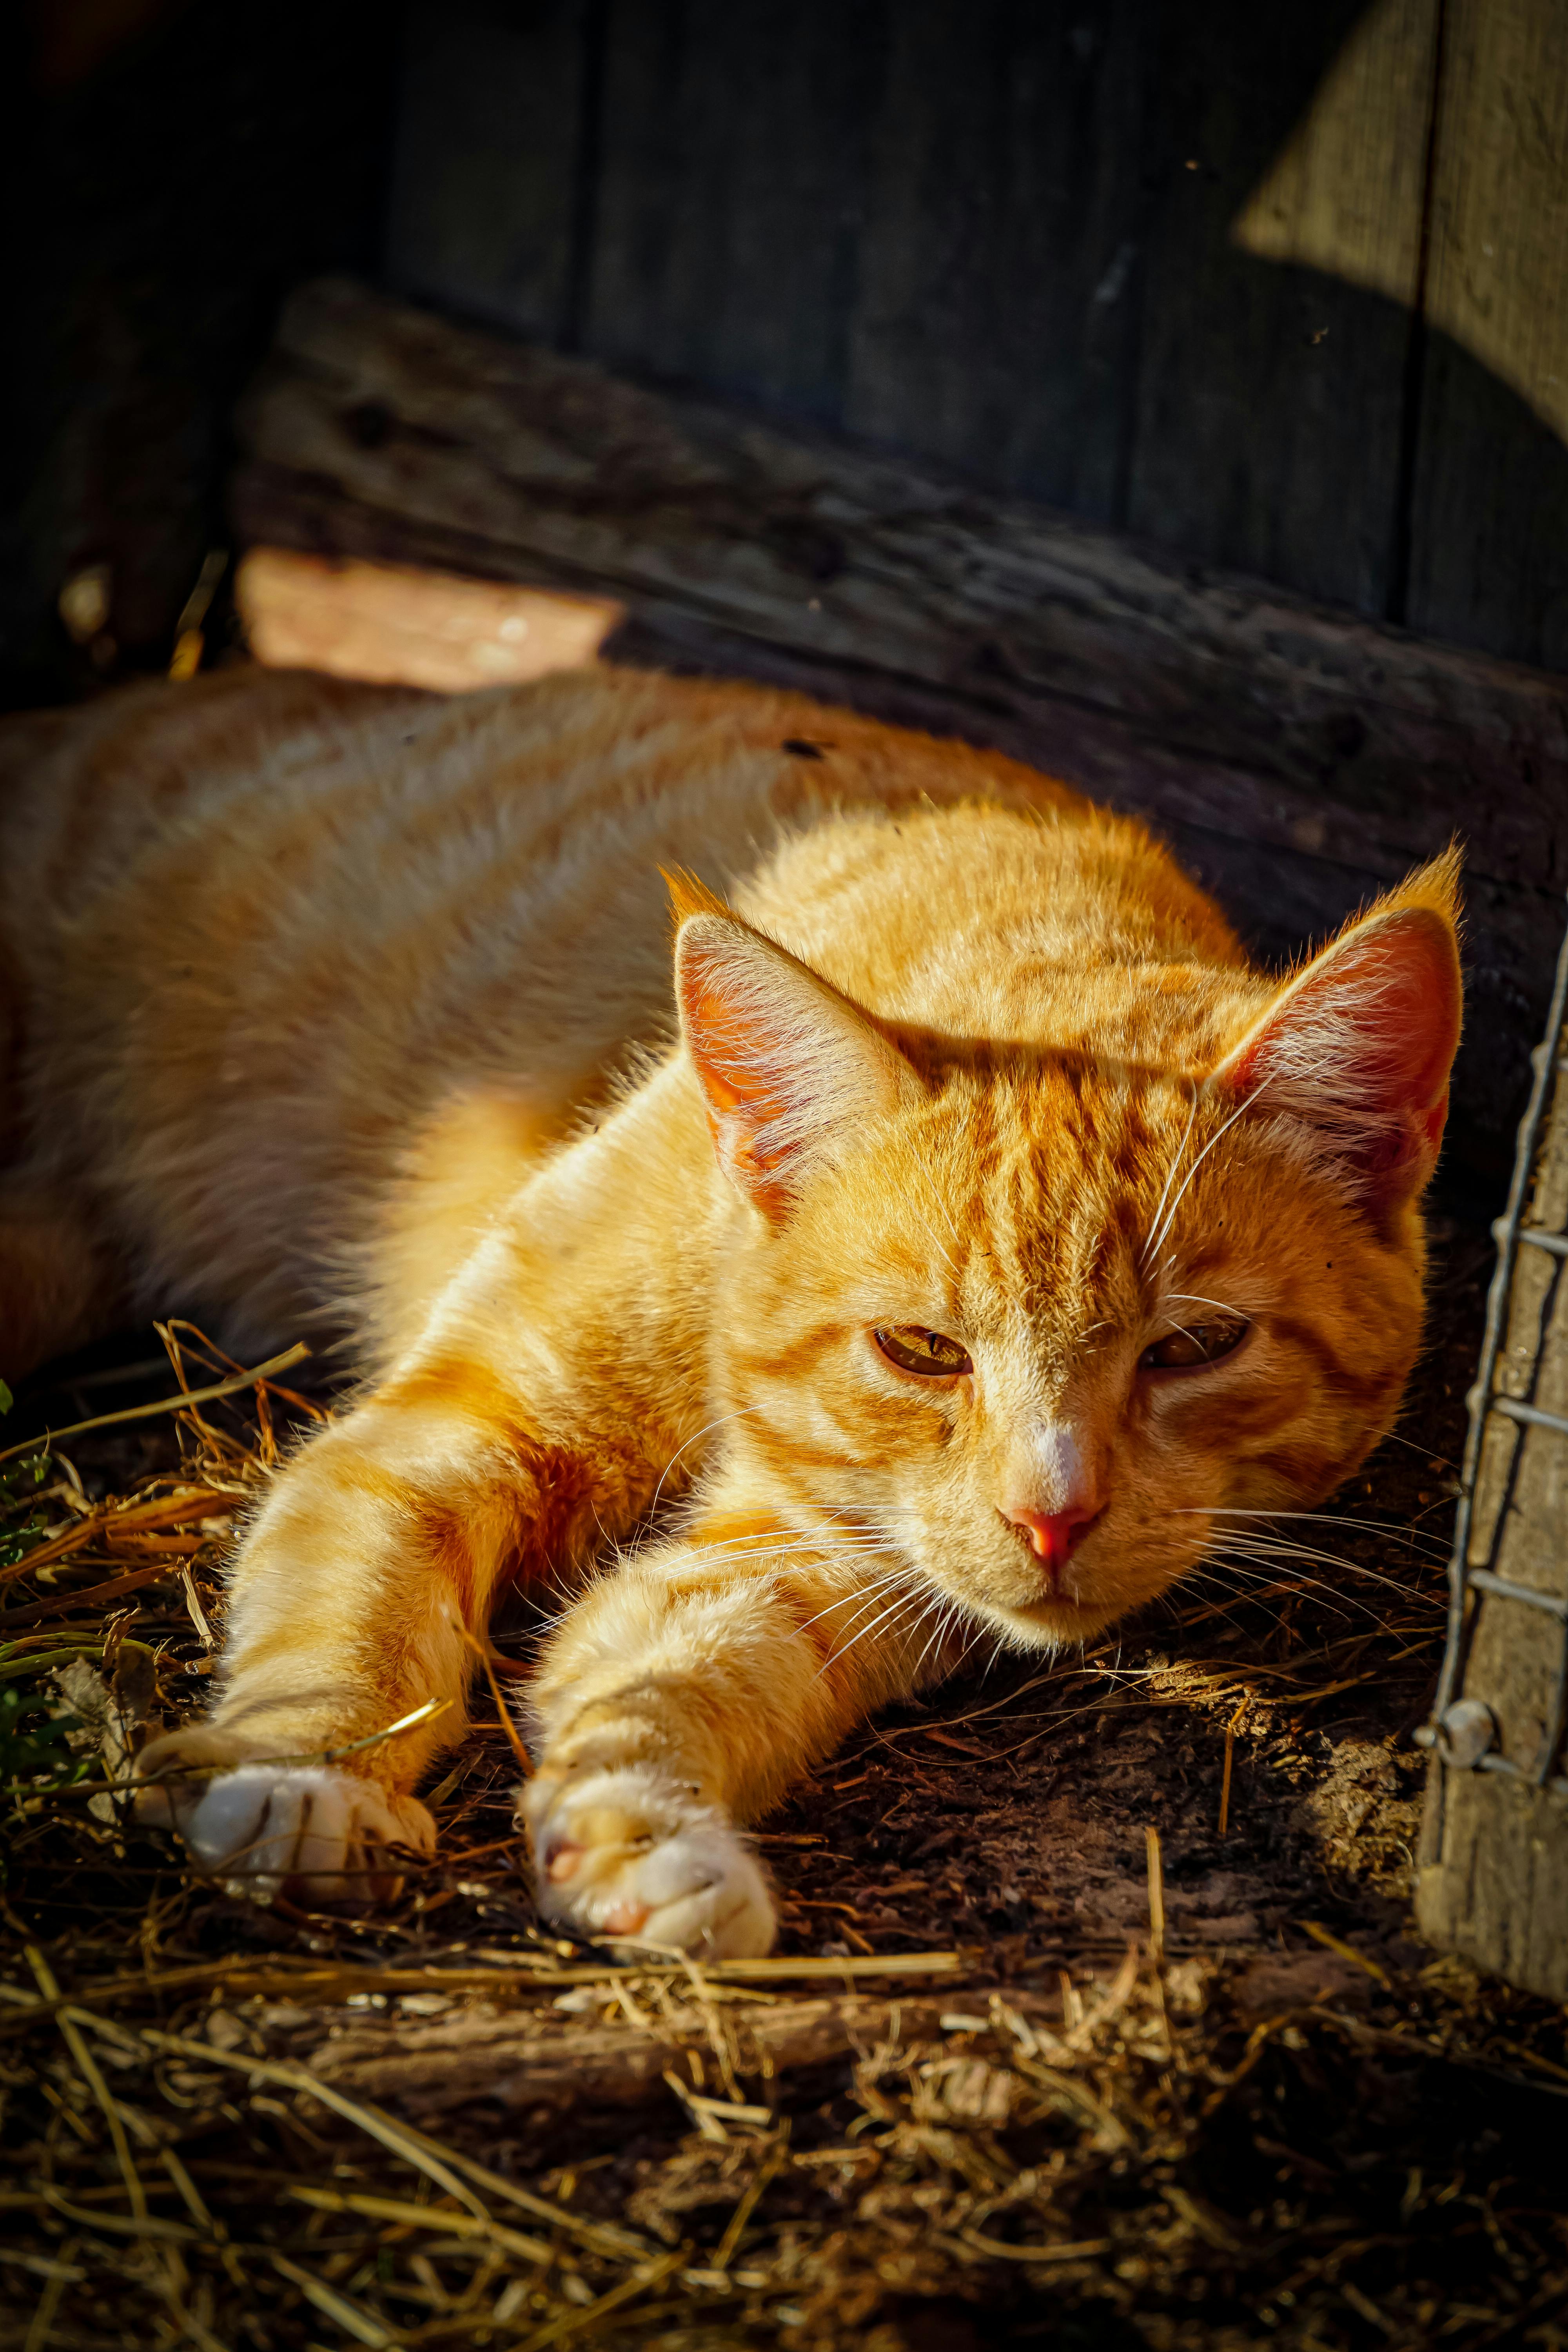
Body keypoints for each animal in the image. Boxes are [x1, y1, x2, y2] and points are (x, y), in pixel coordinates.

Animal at [3, 659, 1476, 1947]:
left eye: (1195, 1346)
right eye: (919, 1349)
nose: (1051, 1519)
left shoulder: (823, 1561)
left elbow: (664, 1664)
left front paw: (643, 1837)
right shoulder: (443, 1431)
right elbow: (356, 1603)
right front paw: (306, 1774)